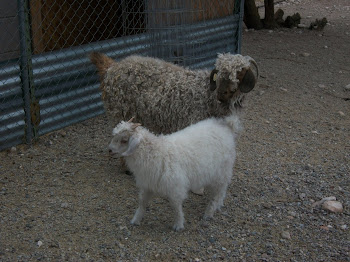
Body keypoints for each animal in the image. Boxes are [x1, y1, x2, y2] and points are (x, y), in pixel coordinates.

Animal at [109, 115, 241, 230]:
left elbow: (176, 206)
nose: (110, 150)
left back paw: (209, 212)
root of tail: (227, 126)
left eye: (124, 140)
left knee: (219, 192)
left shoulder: (175, 186)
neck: (156, 153)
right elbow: (142, 202)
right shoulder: (148, 184)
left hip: (222, 171)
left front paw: (178, 224)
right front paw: (136, 219)